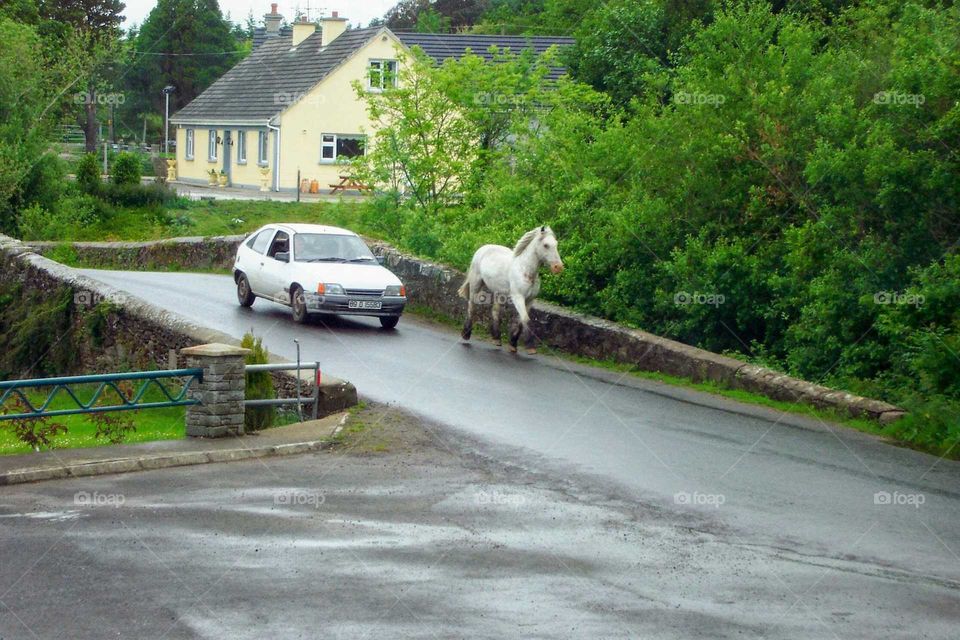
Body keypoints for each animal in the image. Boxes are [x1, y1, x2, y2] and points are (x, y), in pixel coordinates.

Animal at [458, 225, 564, 356]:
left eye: (556, 244)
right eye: (546, 245)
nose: (558, 267)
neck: (525, 270)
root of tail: (483, 248)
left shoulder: (530, 300)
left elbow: (521, 321)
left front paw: (513, 344)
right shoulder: (518, 297)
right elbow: (525, 319)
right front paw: (530, 347)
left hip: (498, 292)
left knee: (495, 311)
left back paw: (497, 339)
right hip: (476, 284)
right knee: (471, 306)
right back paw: (466, 334)